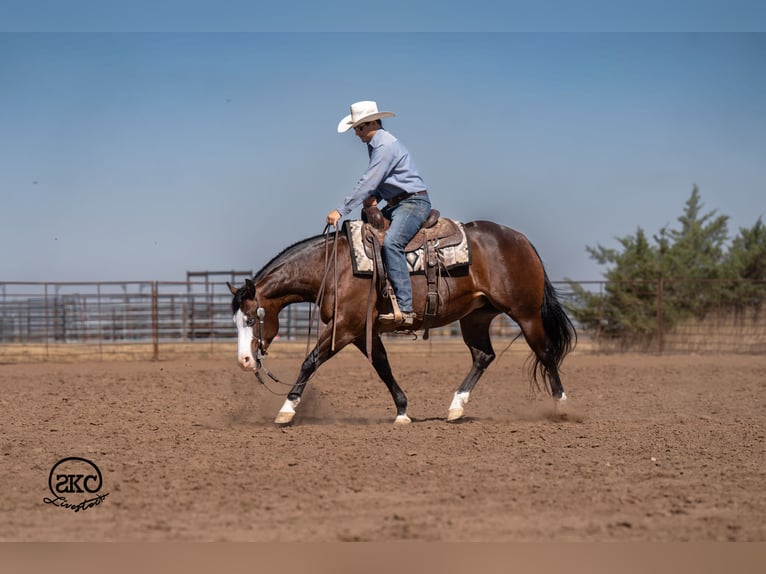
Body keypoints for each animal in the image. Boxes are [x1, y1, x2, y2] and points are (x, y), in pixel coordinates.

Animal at [228, 219, 576, 425]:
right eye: (235, 321)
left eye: (251, 318)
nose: (244, 361)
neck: (334, 267)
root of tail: (520, 239)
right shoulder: (361, 332)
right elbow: (383, 367)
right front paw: (403, 411)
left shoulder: (344, 327)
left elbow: (310, 361)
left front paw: (286, 410)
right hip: (475, 317)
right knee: (483, 356)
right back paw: (456, 407)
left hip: (525, 313)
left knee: (545, 352)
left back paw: (561, 407)